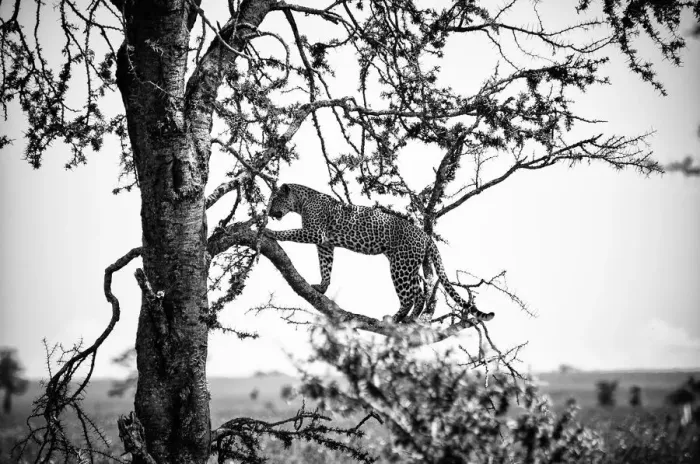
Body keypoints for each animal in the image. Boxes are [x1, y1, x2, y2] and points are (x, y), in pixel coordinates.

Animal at [265, 183, 495, 323]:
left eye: (275, 200)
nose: (269, 212)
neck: (302, 201)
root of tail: (425, 236)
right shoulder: (326, 245)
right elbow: (326, 266)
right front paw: (322, 287)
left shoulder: (315, 233)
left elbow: (290, 232)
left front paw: (269, 231)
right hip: (408, 264)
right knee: (419, 292)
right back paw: (409, 319)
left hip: (400, 265)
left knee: (409, 296)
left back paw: (396, 318)